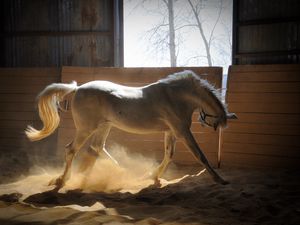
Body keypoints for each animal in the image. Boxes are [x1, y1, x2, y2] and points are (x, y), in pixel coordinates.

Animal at [25, 70, 237, 188]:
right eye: (216, 122)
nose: (209, 125)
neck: (175, 96)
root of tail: (77, 89)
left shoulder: (171, 132)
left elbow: (169, 155)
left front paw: (153, 177)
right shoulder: (182, 131)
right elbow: (200, 156)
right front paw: (220, 180)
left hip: (104, 126)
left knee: (96, 148)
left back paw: (116, 173)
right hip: (86, 128)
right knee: (72, 150)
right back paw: (62, 180)